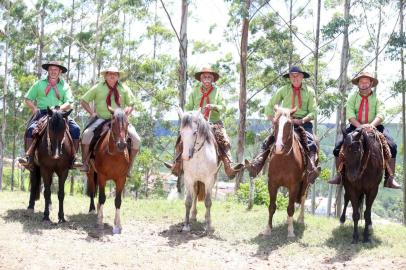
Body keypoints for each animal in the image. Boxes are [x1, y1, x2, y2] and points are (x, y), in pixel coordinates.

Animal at [264, 105, 310, 236]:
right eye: (275, 122)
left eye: (289, 124)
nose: (279, 147)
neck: (283, 159)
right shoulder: (272, 183)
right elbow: (272, 206)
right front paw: (268, 229)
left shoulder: (294, 185)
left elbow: (290, 208)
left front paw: (290, 231)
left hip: (306, 182)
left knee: (303, 198)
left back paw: (300, 219)